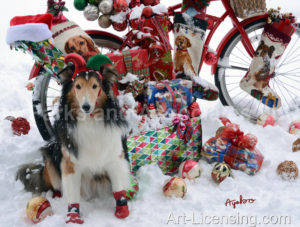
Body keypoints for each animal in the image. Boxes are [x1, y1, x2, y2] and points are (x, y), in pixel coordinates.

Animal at [16, 59, 131, 223]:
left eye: (95, 86)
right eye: (78, 86)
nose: (86, 106)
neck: (90, 121)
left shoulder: (114, 158)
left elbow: (118, 187)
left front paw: (122, 210)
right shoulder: (70, 164)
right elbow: (72, 195)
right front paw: (73, 217)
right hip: (50, 155)